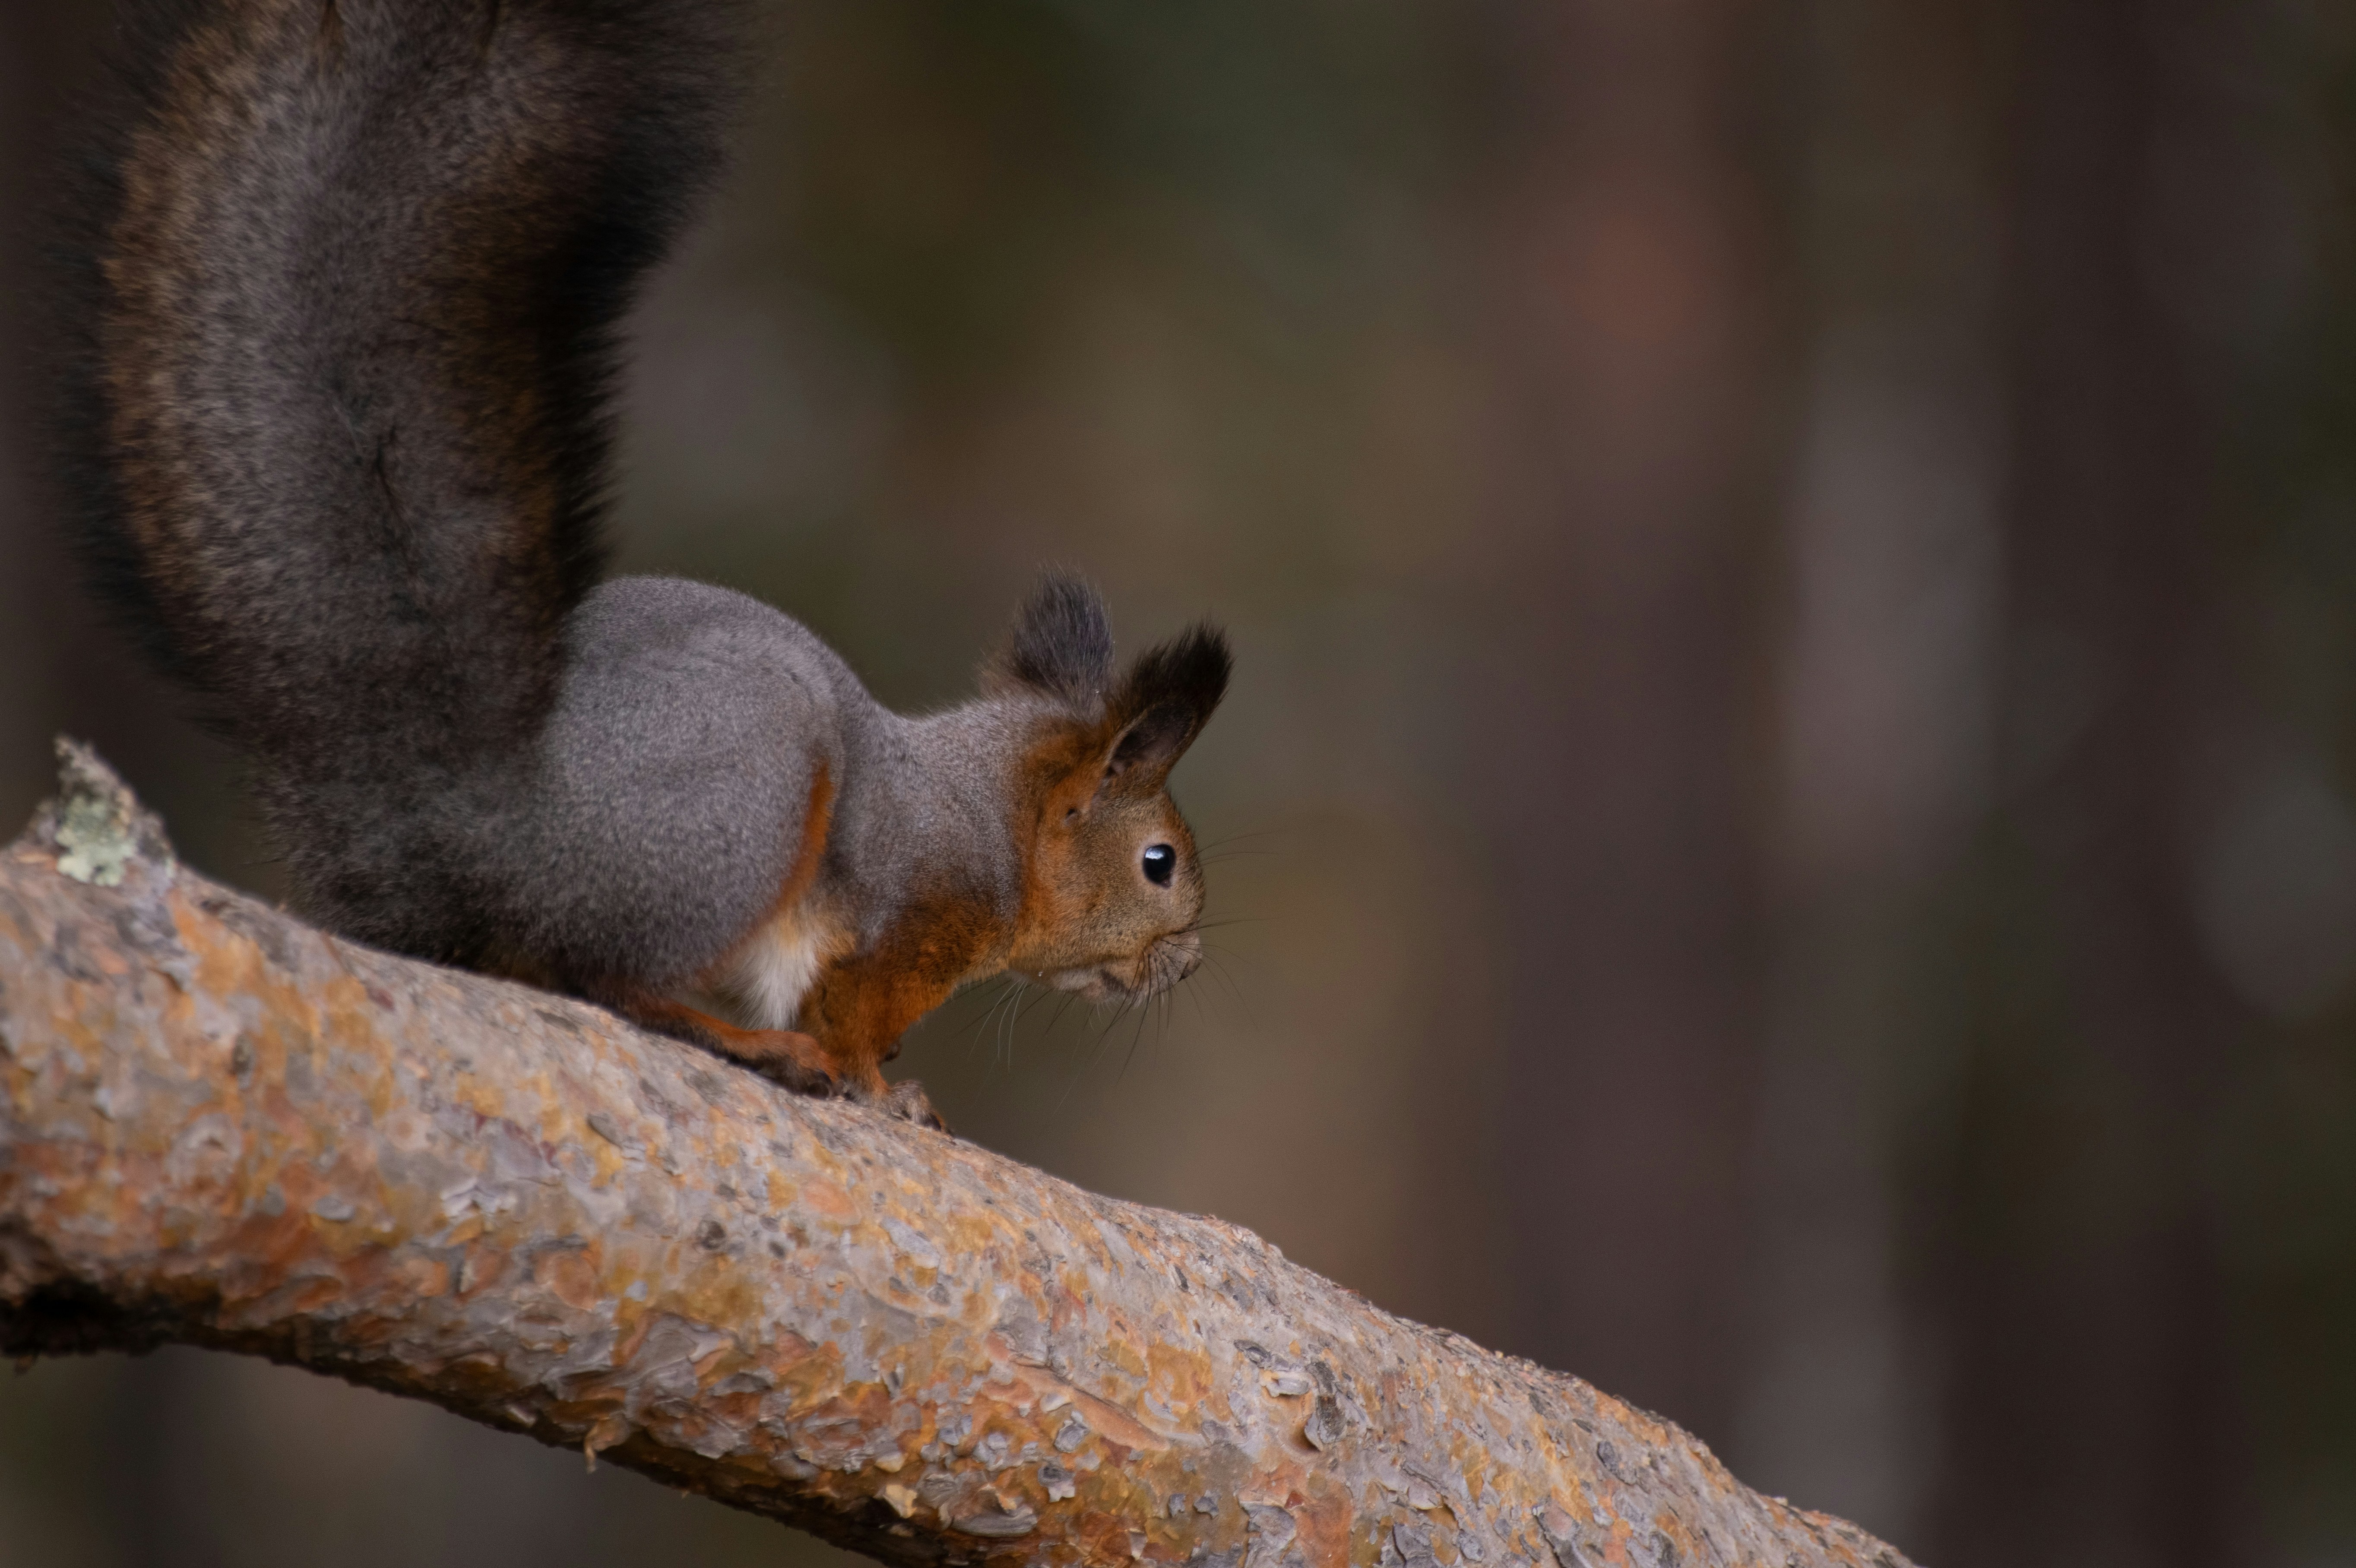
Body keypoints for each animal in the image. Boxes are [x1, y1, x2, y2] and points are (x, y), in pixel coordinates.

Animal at [54, 0, 1230, 1129]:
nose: (1187, 963)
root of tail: (468, 817)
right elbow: (850, 1015)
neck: (997, 814)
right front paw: (879, 1086)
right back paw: (751, 1046)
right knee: (609, 979)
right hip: (742, 801)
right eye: (1158, 861)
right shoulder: (904, 914)